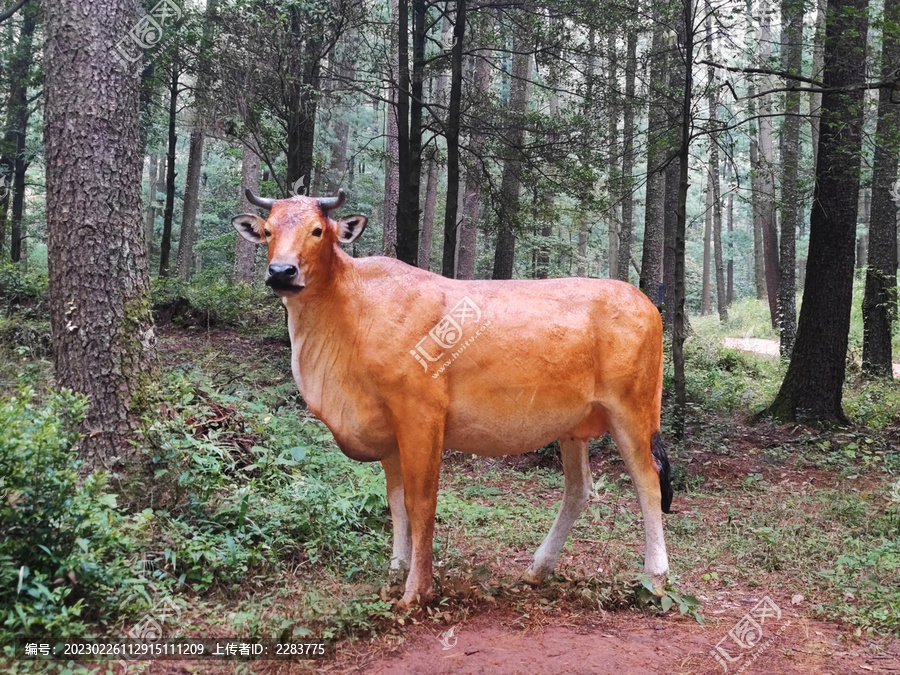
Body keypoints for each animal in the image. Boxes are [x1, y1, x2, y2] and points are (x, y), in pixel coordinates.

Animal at [232, 189, 668, 608]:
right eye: (268, 231)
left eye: (318, 231)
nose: (281, 272)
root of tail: (645, 301)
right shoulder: (388, 429)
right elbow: (396, 503)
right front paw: (394, 575)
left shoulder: (421, 414)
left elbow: (421, 502)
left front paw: (416, 590)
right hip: (574, 425)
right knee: (579, 490)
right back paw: (537, 570)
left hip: (633, 410)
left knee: (649, 482)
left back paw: (656, 579)